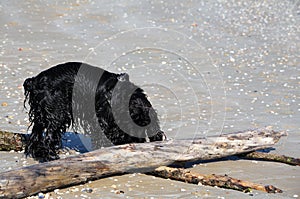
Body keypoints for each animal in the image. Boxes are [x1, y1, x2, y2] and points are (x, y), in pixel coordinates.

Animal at [23, 62, 165, 162]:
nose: (136, 143)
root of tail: (35, 80)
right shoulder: (102, 119)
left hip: (42, 114)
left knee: (36, 134)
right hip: (56, 114)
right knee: (48, 136)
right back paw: (51, 157)